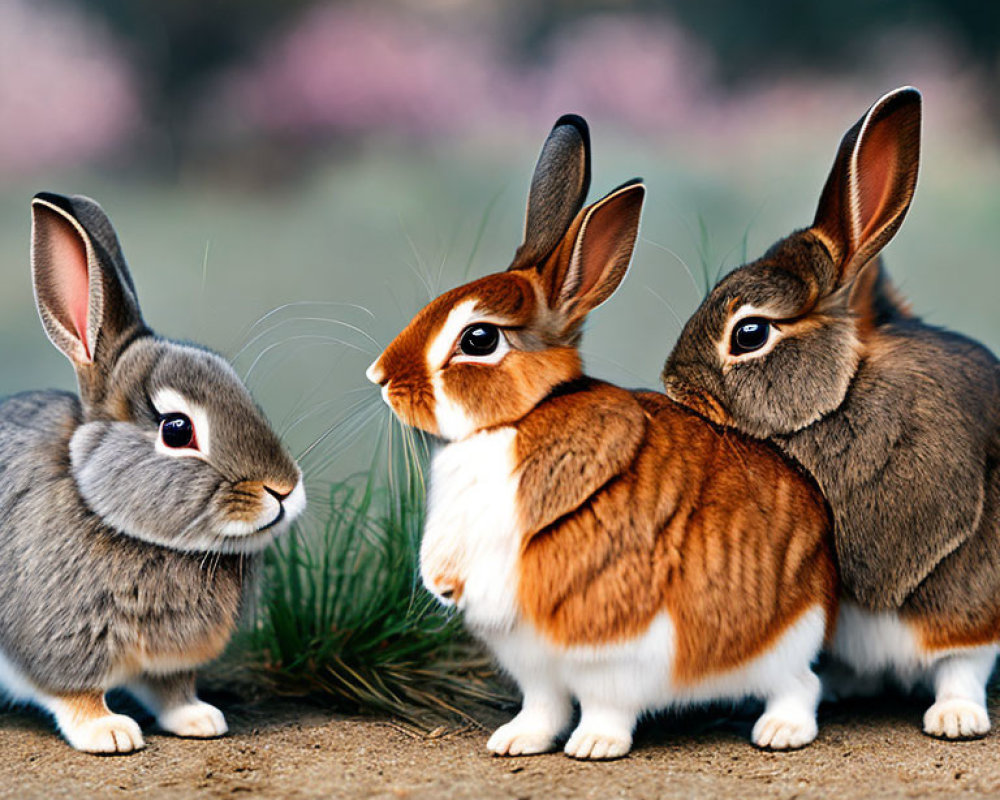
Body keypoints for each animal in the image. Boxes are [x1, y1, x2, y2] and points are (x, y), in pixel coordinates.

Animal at [0, 194, 304, 752]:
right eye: (177, 429)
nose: (285, 489)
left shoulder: (168, 665)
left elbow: (172, 691)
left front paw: (201, 719)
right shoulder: (58, 648)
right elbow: (74, 694)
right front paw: (109, 732)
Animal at [368, 115, 836, 760]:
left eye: (479, 339)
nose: (381, 377)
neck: (516, 422)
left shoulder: (607, 637)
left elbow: (603, 701)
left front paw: (594, 746)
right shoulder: (533, 660)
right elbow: (543, 704)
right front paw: (517, 741)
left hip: (769, 648)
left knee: (802, 685)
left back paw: (777, 731)